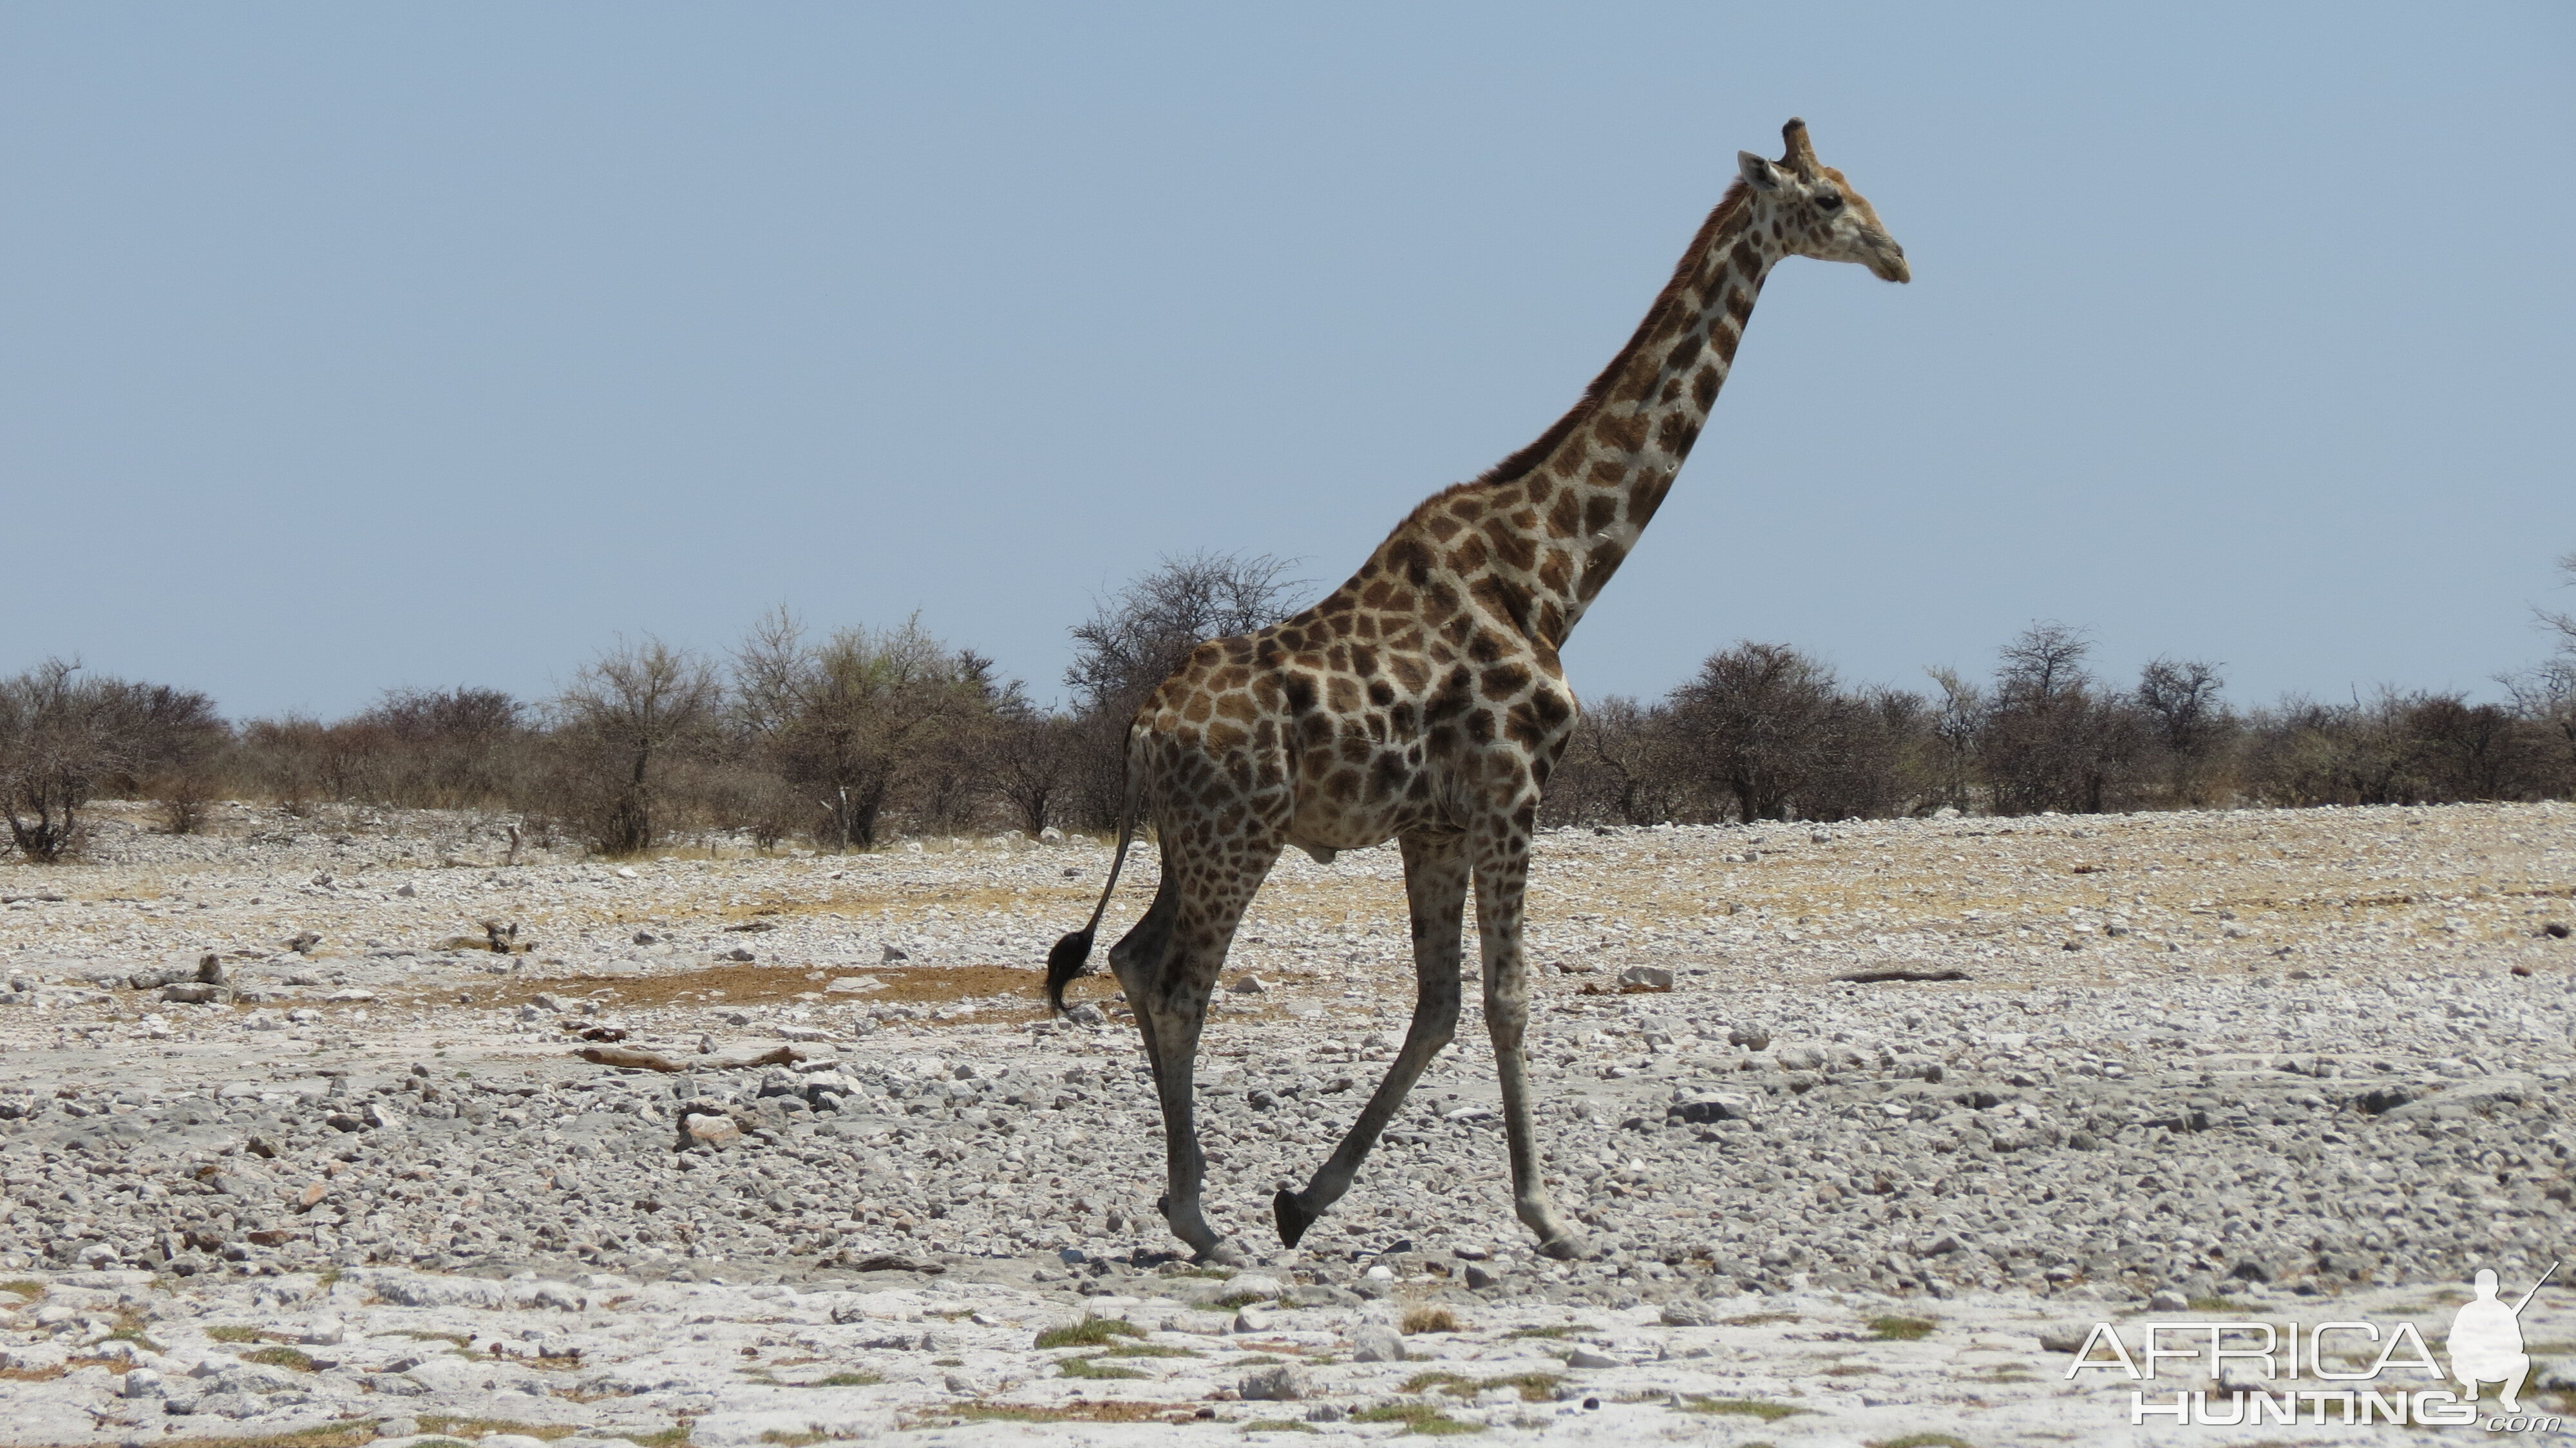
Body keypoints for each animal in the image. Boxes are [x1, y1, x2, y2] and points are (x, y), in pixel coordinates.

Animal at [1046, 115, 1917, 1262]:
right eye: (1826, 201)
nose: (1898, 257)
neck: (1554, 569)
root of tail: (1144, 728)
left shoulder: (1436, 822)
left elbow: (1441, 1003)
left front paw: (1305, 1199)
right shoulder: (1512, 793)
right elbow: (1507, 999)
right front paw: (1550, 1217)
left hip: (1194, 838)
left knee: (1138, 960)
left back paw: (1204, 1206)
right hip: (1240, 836)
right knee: (1180, 981)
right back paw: (1199, 1217)